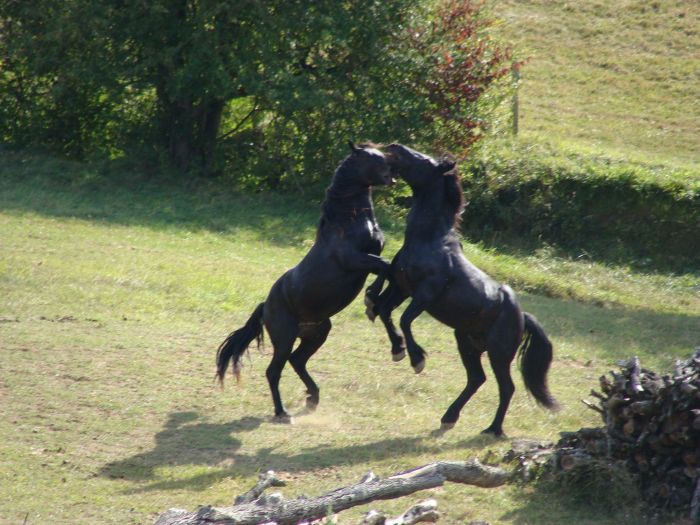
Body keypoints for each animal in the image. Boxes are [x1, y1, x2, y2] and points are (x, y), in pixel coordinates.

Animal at [217, 141, 394, 420]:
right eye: (373, 157)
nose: (392, 169)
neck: (349, 219)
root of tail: (265, 306)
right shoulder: (356, 260)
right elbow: (385, 266)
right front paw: (370, 298)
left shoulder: (369, 260)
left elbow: (385, 267)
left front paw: (372, 297)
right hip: (285, 338)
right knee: (274, 370)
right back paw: (283, 413)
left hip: (317, 334)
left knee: (297, 361)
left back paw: (312, 398)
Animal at [366, 142, 556, 434]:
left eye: (423, 160)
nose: (393, 147)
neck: (428, 240)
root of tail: (523, 317)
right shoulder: (402, 288)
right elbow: (386, 311)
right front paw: (398, 349)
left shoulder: (425, 294)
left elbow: (405, 319)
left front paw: (417, 359)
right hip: (467, 343)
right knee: (477, 379)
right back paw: (449, 418)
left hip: (499, 353)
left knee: (506, 387)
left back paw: (493, 429)